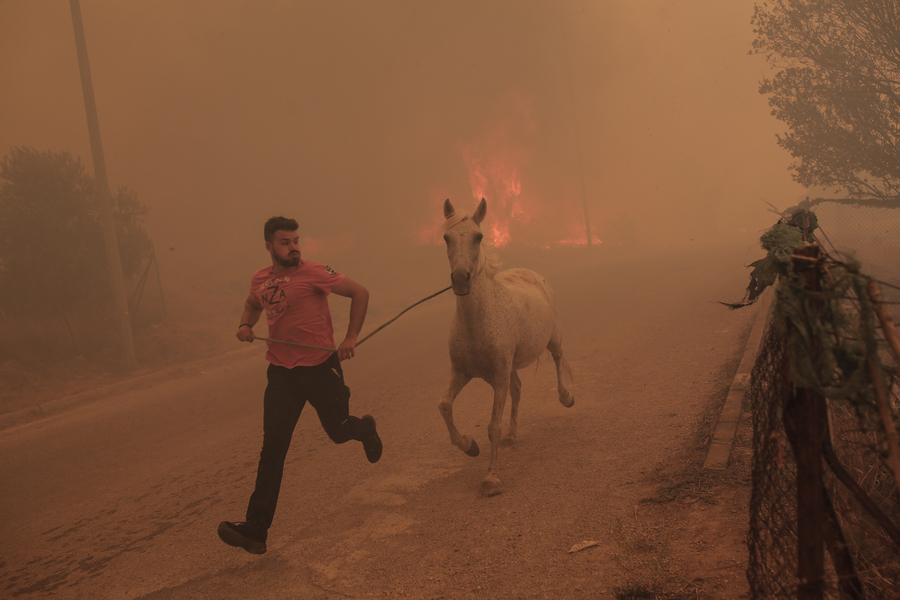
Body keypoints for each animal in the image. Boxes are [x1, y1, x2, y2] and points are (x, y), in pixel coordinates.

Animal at [438, 198, 576, 496]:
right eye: (446, 237)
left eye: (478, 237)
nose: (461, 279)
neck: (478, 321)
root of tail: (532, 273)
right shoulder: (461, 372)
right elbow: (444, 406)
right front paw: (469, 446)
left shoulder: (498, 377)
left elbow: (492, 426)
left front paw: (491, 479)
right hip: (510, 366)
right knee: (518, 389)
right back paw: (512, 435)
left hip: (553, 339)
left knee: (558, 360)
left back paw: (566, 397)